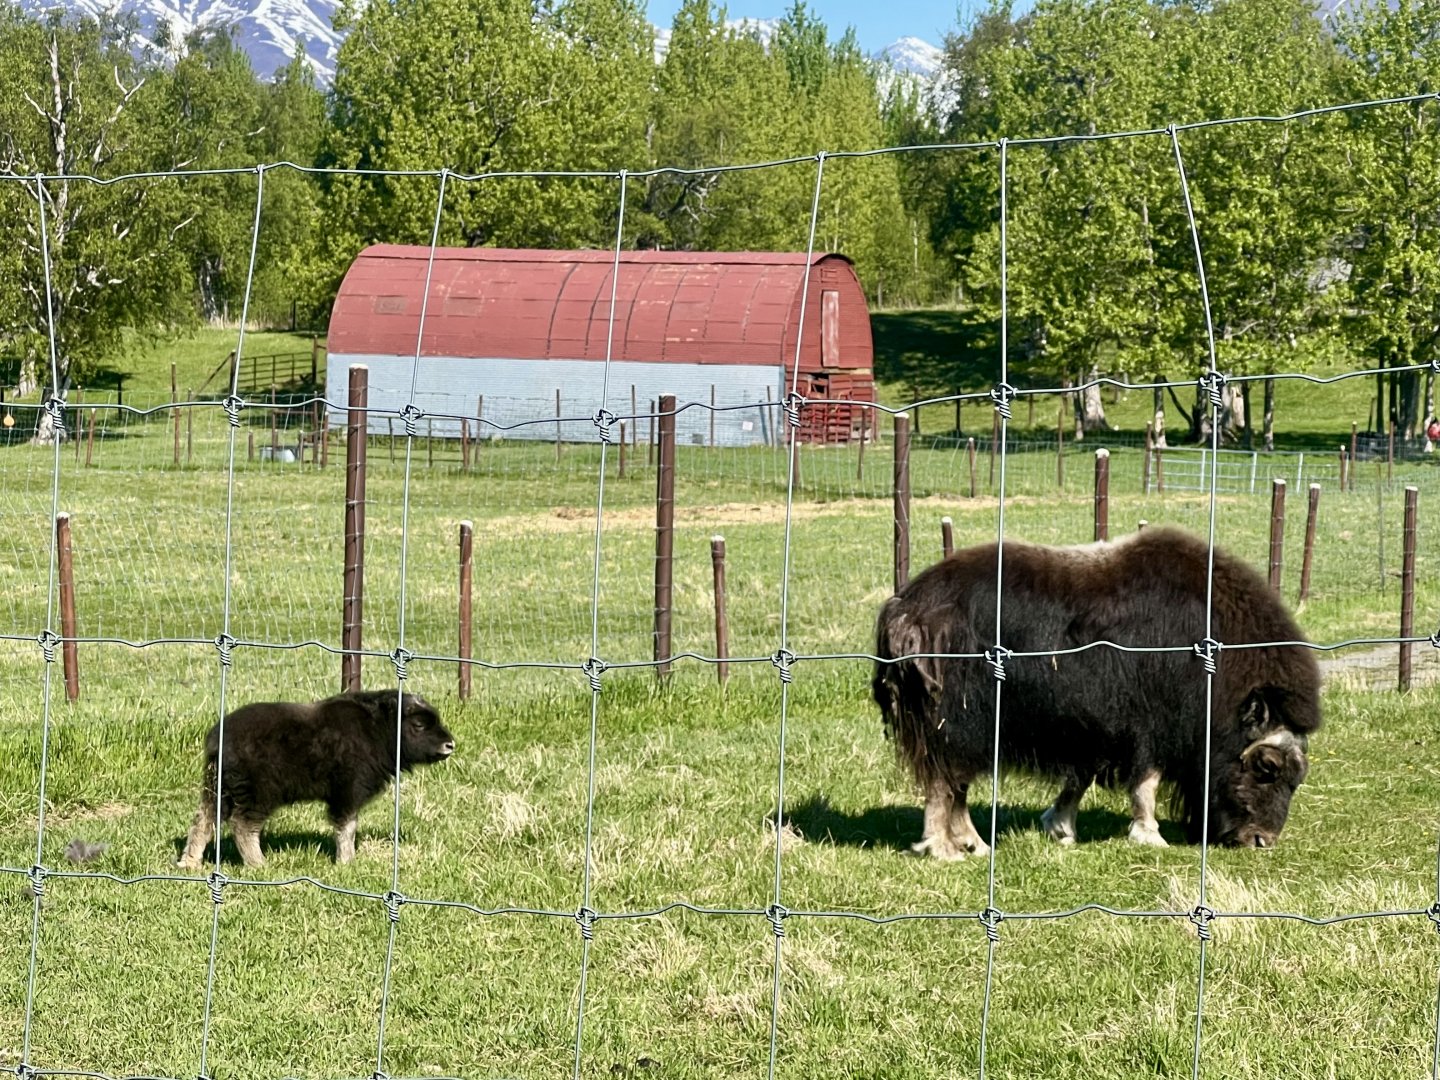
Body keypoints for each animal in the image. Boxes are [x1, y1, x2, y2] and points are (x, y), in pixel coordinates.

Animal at [176, 689, 455, 869]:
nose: (450, 744)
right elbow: (347, 827)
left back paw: (189, 863)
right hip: (258, 794)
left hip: (218, 789)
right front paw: (346, 863)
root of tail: (217, 739)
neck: (380, 730)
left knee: (204, 820)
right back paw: (260, 865)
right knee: (243, 826)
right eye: (419, 725)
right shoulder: (348, 792)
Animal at [871, 526, 1321, 857]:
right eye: (1266, 767)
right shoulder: (1148, 724)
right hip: (955, 723)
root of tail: (904, 610)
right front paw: (1150, 835)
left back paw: (974, 844)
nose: (1261, 841)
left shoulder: (1095, 727)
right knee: (943, 782)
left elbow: (1082, 777)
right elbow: (1145, 782)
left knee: (957, 785)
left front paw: (1060, 827)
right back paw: (944, 849)